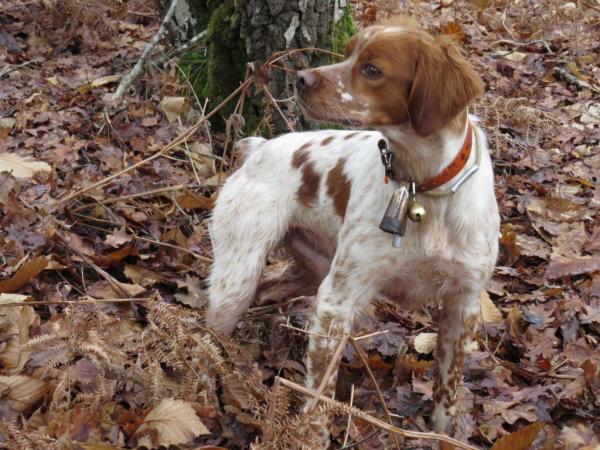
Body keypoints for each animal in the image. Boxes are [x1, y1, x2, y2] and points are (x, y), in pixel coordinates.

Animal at [209, 16, 500, 442]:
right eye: (347, 53)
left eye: (372, 69)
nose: (301, 78)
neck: (422, 190)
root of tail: (260, 147)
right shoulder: (337, 299)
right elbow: (320, 393)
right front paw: (312, 438)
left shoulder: (463, 303)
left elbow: (448, 385)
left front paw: (444, 435)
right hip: (238, 278)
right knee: (205, 336)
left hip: (312, 268)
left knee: (268, 291)